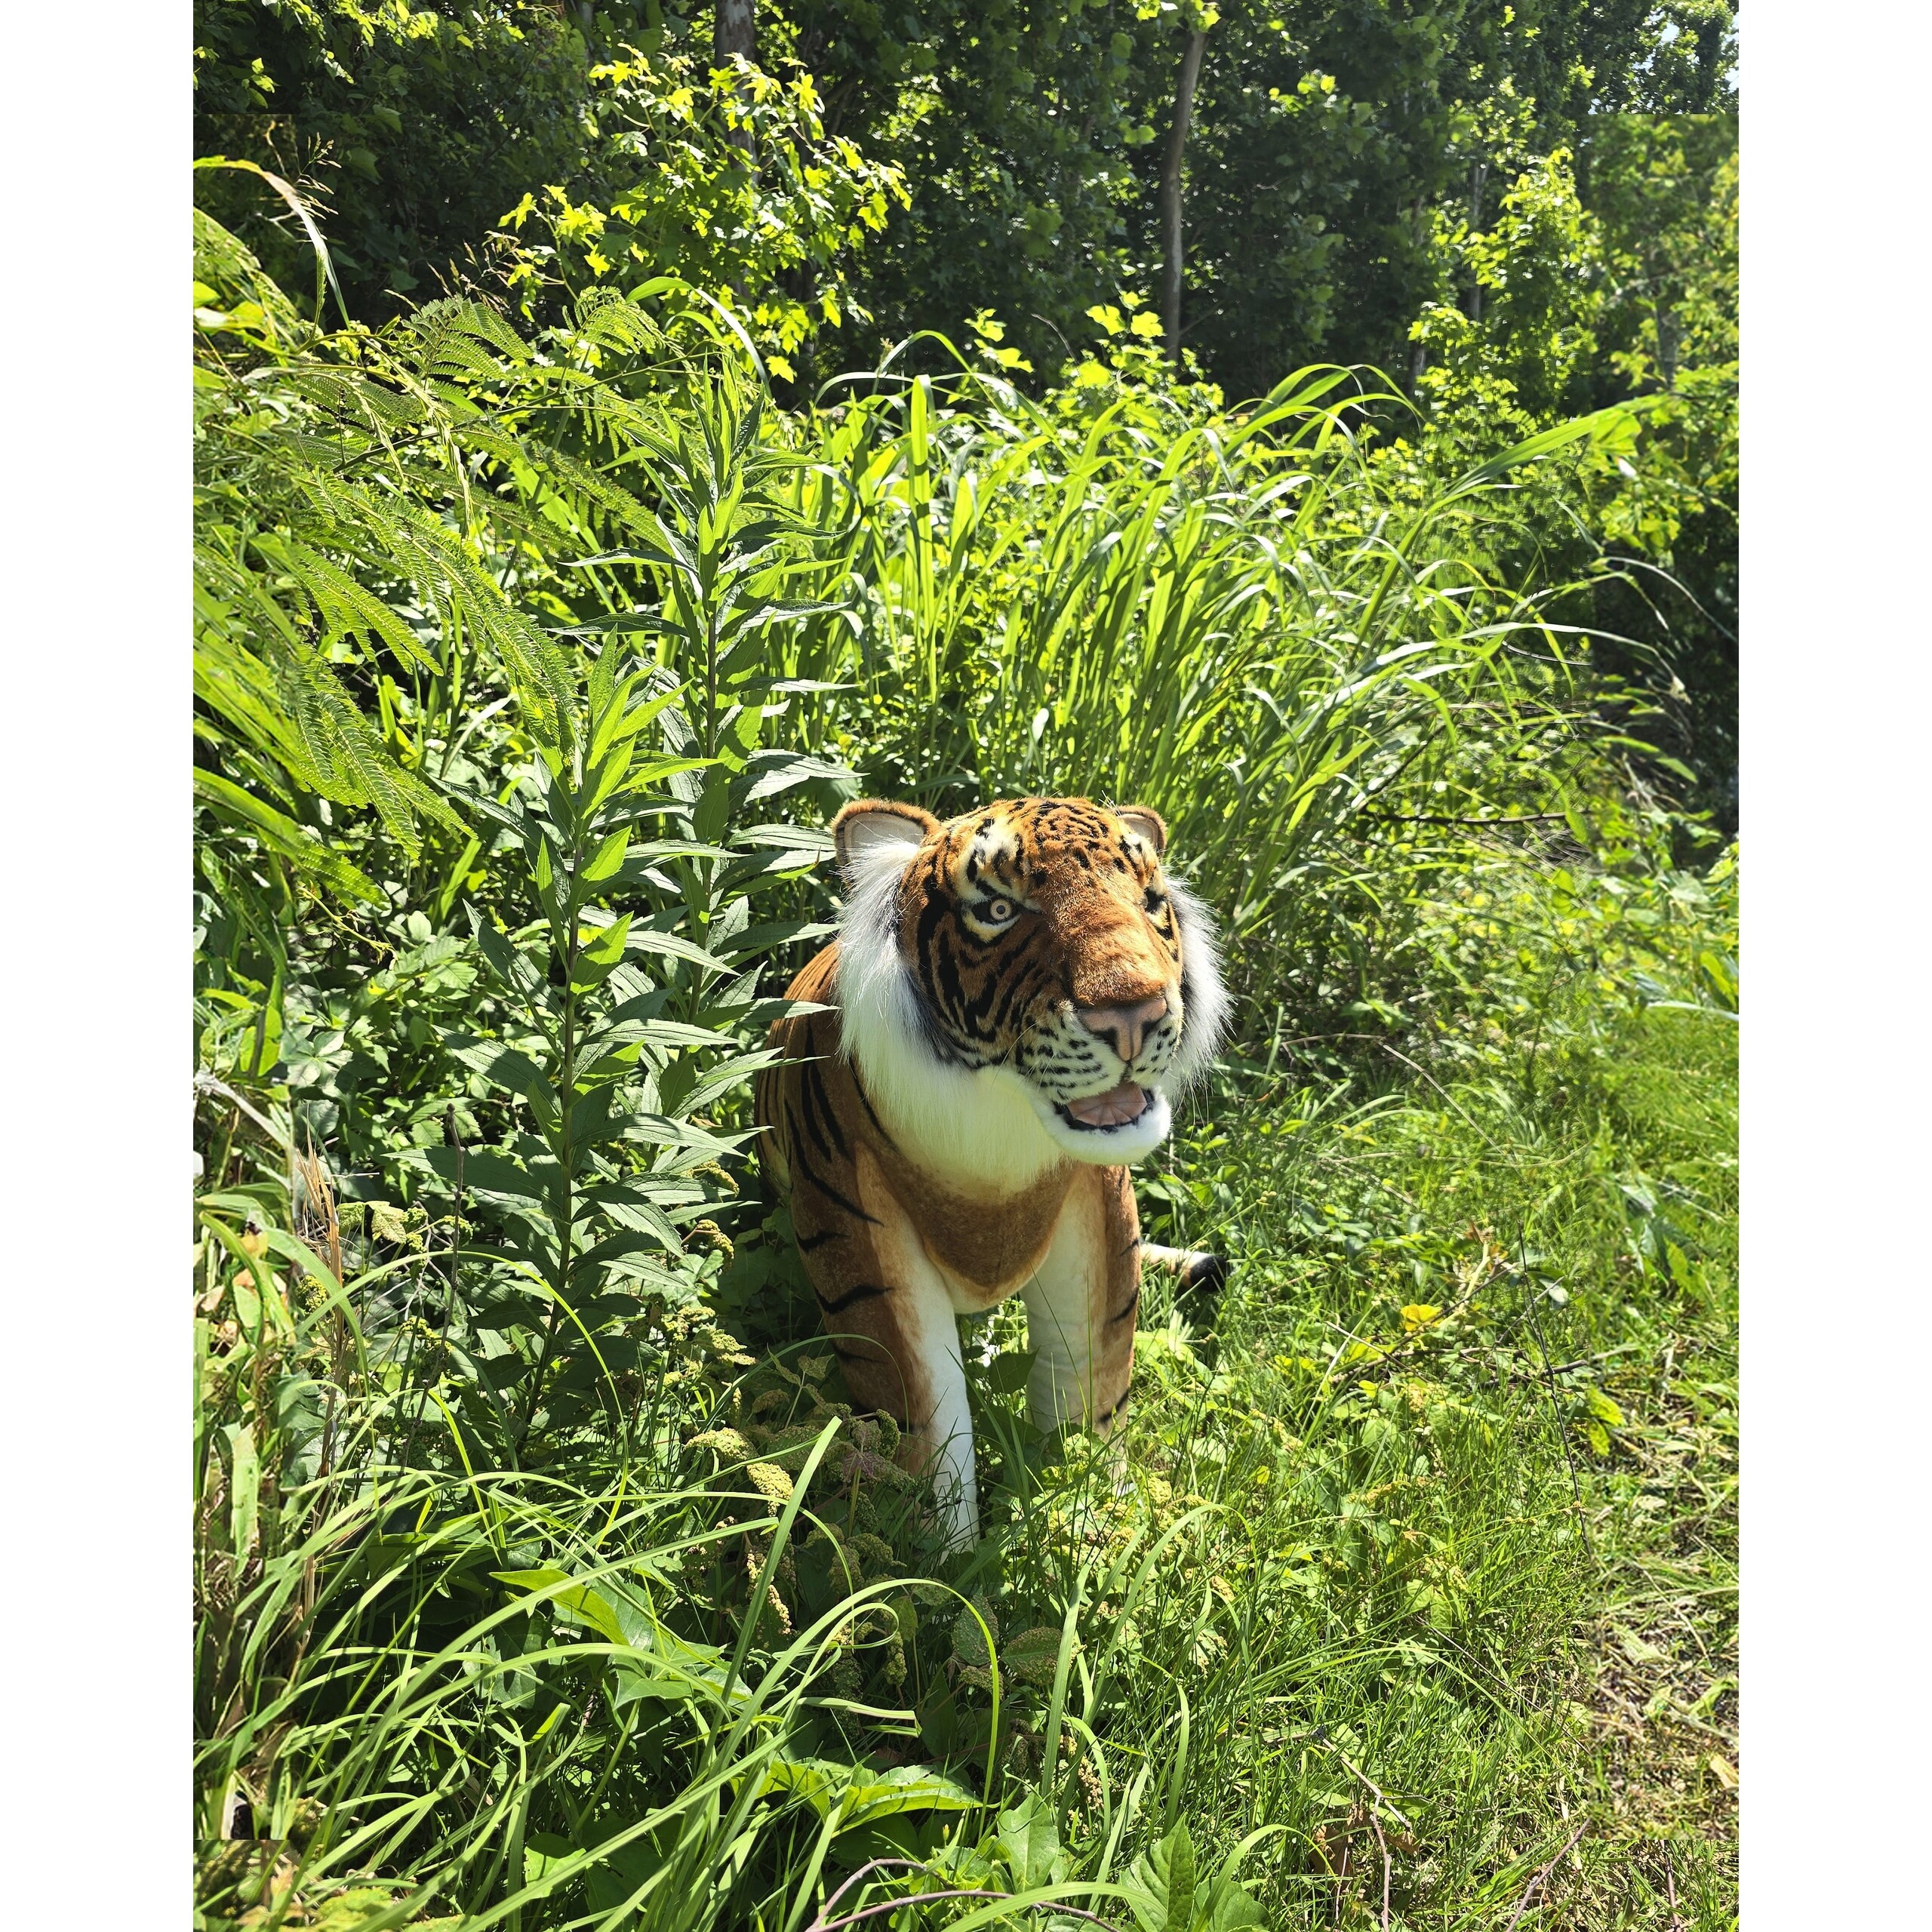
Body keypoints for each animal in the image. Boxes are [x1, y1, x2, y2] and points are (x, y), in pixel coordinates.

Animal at [753, 794, 1230, 1549]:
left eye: (1150, 900)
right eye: (1000, 910)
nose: (1134, 1014)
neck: (1001, 1127)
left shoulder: (1101, 1220)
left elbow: (1089, 1392)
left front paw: (1091, 1520)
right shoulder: (860, 1235)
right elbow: (928, 1420)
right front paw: (937, 1558)